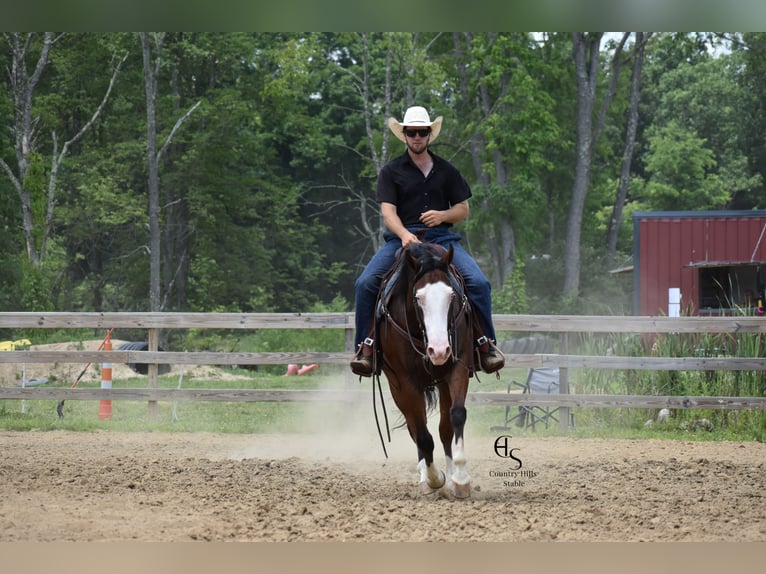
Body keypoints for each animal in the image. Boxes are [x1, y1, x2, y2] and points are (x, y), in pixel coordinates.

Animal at [376, 241, 474, 498]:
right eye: (418, 297)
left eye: (451, 295)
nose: (438, 351)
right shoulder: (405, 382)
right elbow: (422, 435)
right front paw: (434, 478)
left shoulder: (457, 367)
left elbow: (456, 416)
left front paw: (459, 479)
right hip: (397, 388)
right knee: (415, 428)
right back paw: (426, 478)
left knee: (443, 429)